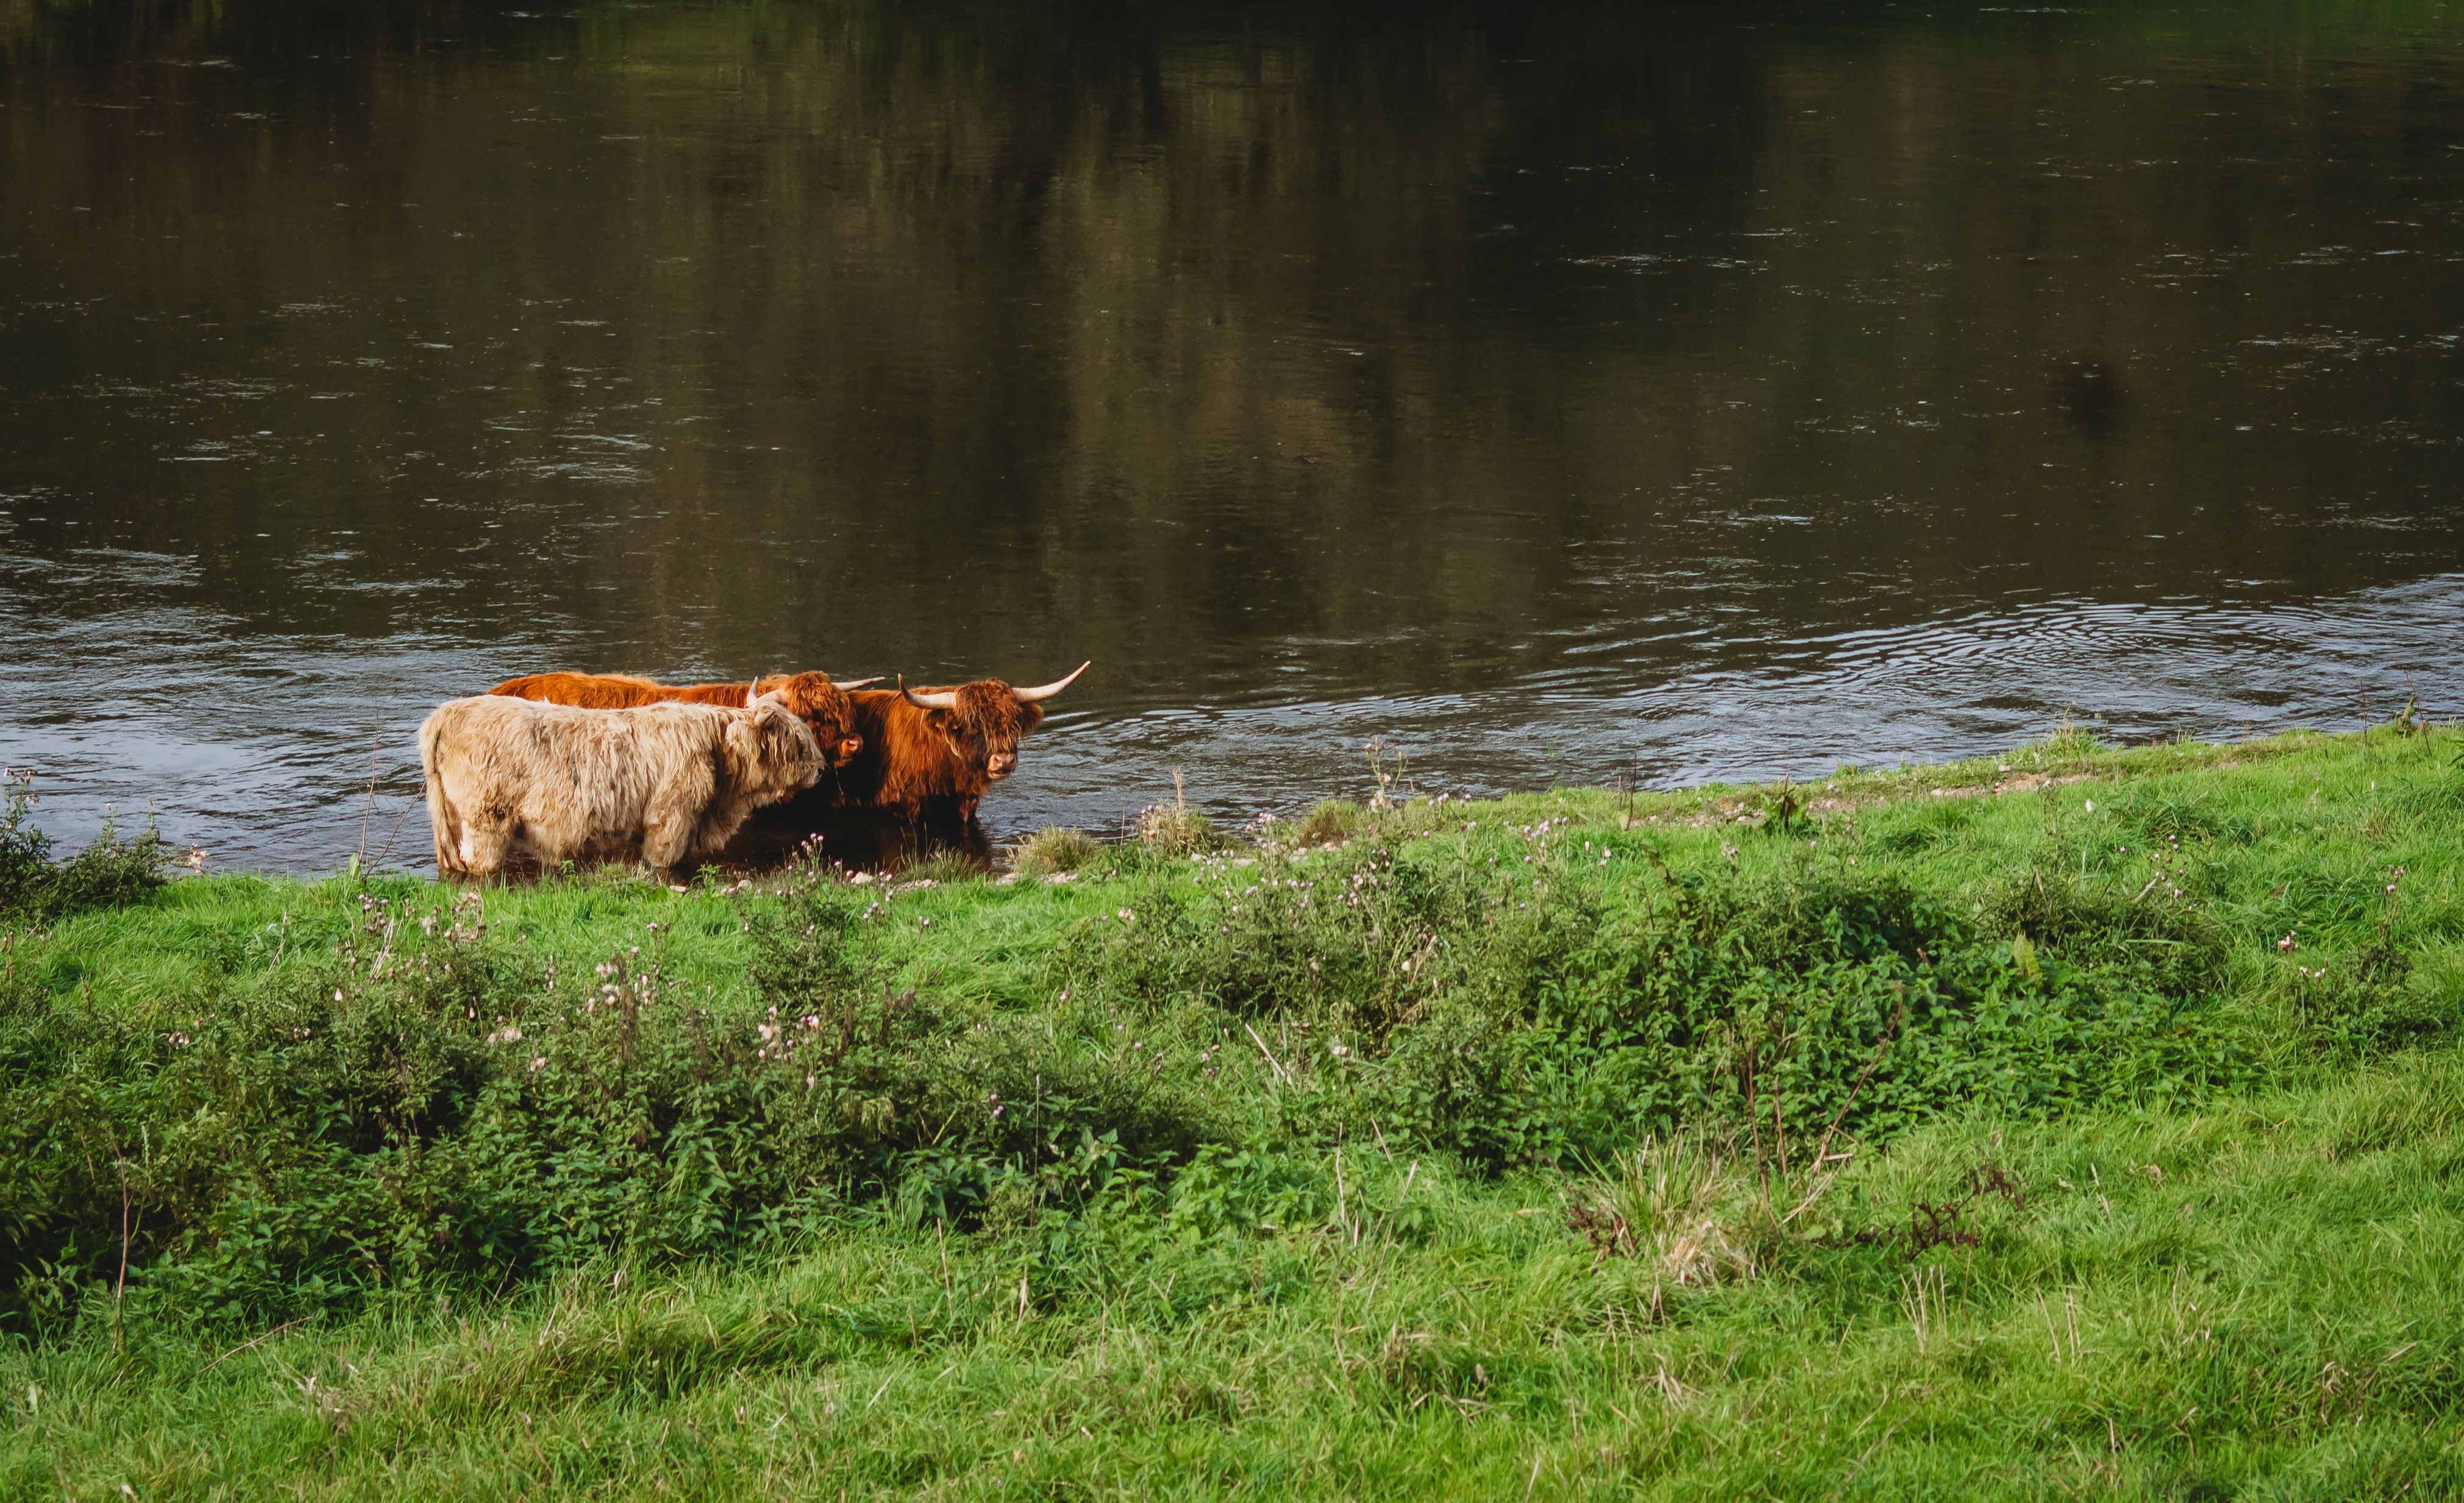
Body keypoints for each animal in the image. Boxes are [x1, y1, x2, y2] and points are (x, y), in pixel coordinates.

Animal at [420, 685, 824, 879]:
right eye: (797, 740)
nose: (822, 769)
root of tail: (451, 709)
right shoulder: (670, 821)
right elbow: (664, 868)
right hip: (486, 822)